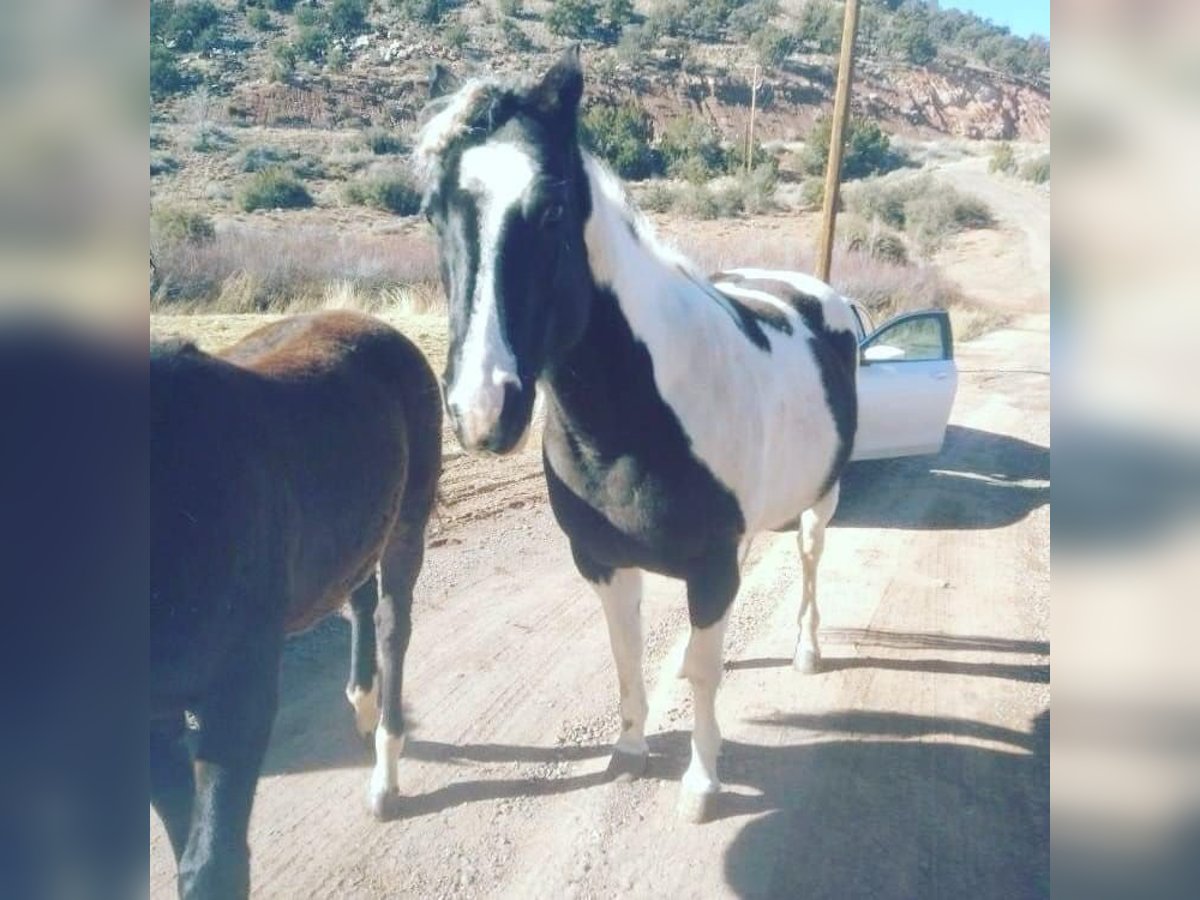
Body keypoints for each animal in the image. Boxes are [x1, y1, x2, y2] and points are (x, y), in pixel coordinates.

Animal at [152, 312, 444, 900]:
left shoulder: (239, 692)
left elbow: (213, 864)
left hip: (408, 522)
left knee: (391, 625)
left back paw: (384, 775)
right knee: (358, 597)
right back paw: (360, 703)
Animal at [417, 51, 859, 825]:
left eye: (552, 209)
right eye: (433, 210)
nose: (481, 409)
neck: (638, 413)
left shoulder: (710, 565)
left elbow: (708, 678)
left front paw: (702, 783)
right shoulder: (601, 562)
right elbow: (625, 652)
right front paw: (628, 750)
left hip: (820, 500)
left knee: (809, 561)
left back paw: (807, 650)